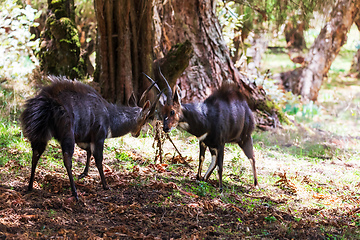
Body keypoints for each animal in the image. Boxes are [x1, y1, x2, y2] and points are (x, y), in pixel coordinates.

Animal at [21, 76, 162, 200]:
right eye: (145, 120)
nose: (136, 134)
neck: (109, 117)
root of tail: (47, 102)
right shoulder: (98, 138)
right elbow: (99, 159)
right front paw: (105, 185)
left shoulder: (84, 139)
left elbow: (88, 153)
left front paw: (84, 174)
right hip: (67, 134)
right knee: (67, 159)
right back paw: (75, 193)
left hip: (41, 134)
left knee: (35, 154)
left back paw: (30, 186)